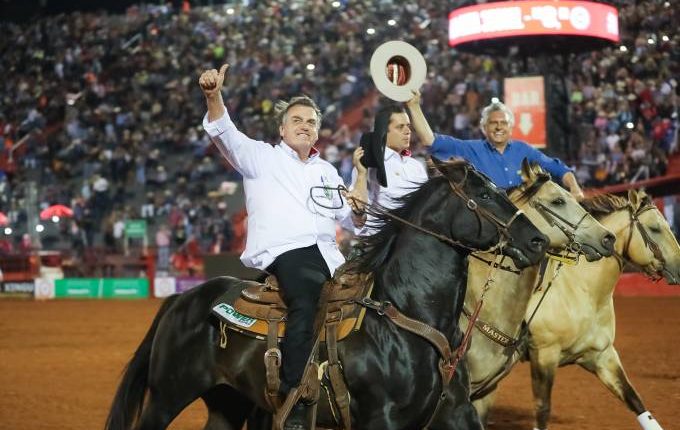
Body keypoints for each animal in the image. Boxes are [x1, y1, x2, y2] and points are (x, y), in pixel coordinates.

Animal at [107, 160, 552, 430]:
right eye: (484, 195)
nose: (537, 241)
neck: (406, 317)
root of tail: (183, 300)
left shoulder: (456, 411)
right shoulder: (381, 419)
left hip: (227, 402)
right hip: (167, 396)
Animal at [478, 191, 680, 430]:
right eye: (655, 228)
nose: (679, 266)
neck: (582, 290)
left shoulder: (602, 356)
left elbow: (635, 400)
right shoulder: (544, 354)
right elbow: (542, 409)